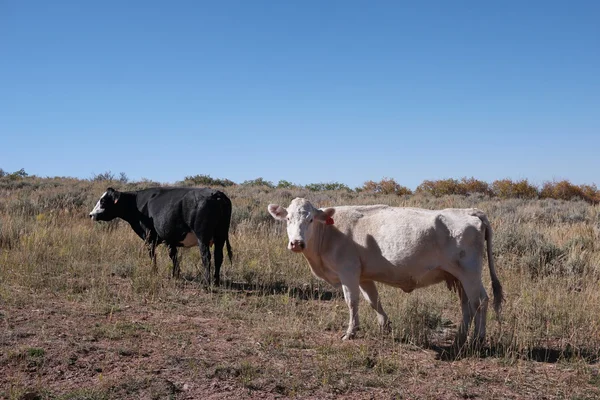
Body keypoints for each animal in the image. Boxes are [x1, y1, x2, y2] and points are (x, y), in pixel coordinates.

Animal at [90, 188, 233, 284]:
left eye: (103, 201)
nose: (91, 214)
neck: (137, 204)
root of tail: (215, 193)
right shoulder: (170, 238)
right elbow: (173, 256)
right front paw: (175, 275)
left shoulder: (149, 238)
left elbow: (153, 255)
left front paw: (154, 272)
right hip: (221, 235)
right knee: (218, 257)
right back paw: (216, 281)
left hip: (202, 237)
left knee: (206, 257)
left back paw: (207, 282)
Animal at [268, 198, 502, 346]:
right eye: (288, 219)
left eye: (310, 220)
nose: (297, 243)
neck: (330, 232)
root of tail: (469, 211)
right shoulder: (364, 276)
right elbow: (373, 300)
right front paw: (384, 326)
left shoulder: (348, 272)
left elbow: (352, 301)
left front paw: (350, 332)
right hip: (459, 277)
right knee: (467, 305)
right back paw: (461, 338)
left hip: (470, 274)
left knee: (480, 301)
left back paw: (478, 339)